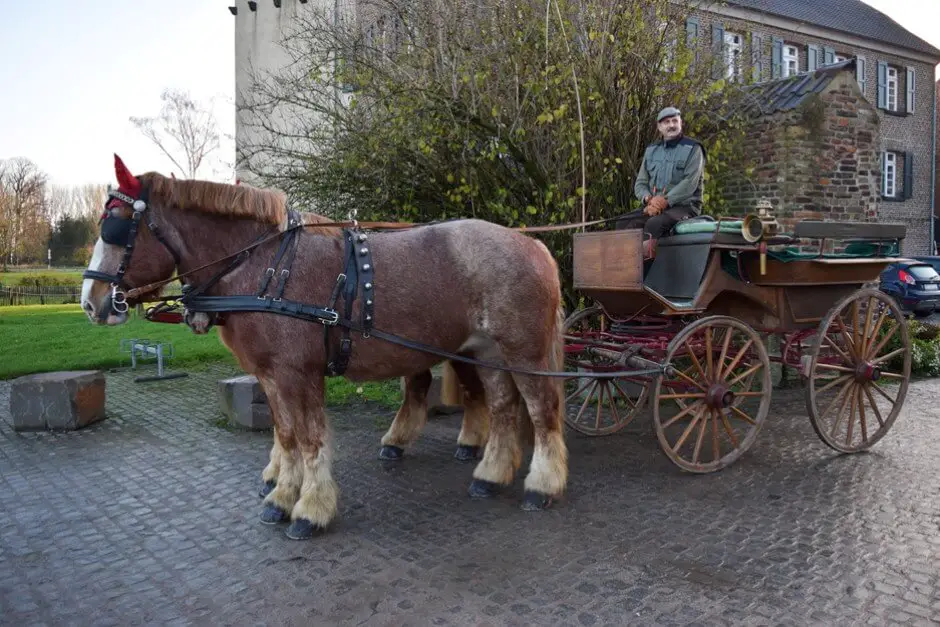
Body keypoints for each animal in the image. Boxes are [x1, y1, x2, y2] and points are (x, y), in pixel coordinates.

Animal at [81, 156, 564, 540]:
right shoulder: (272, 375)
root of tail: (531, 242)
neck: (265, 268)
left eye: (115, 226)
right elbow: (286, 434)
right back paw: (491, 474)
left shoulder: (299, 372)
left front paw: (309, 509)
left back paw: (542, 484)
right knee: (501, 406)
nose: (90, 302)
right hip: (485, 352)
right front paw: (279, 495)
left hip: (524, 352)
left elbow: (309, 438)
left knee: (541, 410)